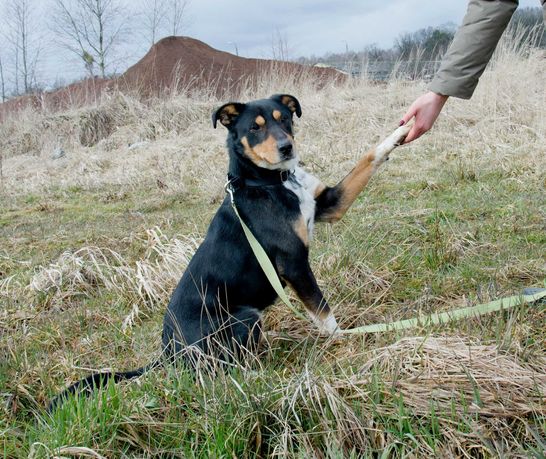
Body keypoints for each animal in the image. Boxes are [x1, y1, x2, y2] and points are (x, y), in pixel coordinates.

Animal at [51, 94, 408, 410]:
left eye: (285, 119)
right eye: (255, 128)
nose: (287, 147)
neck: (269, 182)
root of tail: (166, 353)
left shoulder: (329, 203)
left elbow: (368, 158)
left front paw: (399, 134)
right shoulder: (293, 263)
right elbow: (323, 311)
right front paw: (344, 339)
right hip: (244, 318)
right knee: (221, 370)